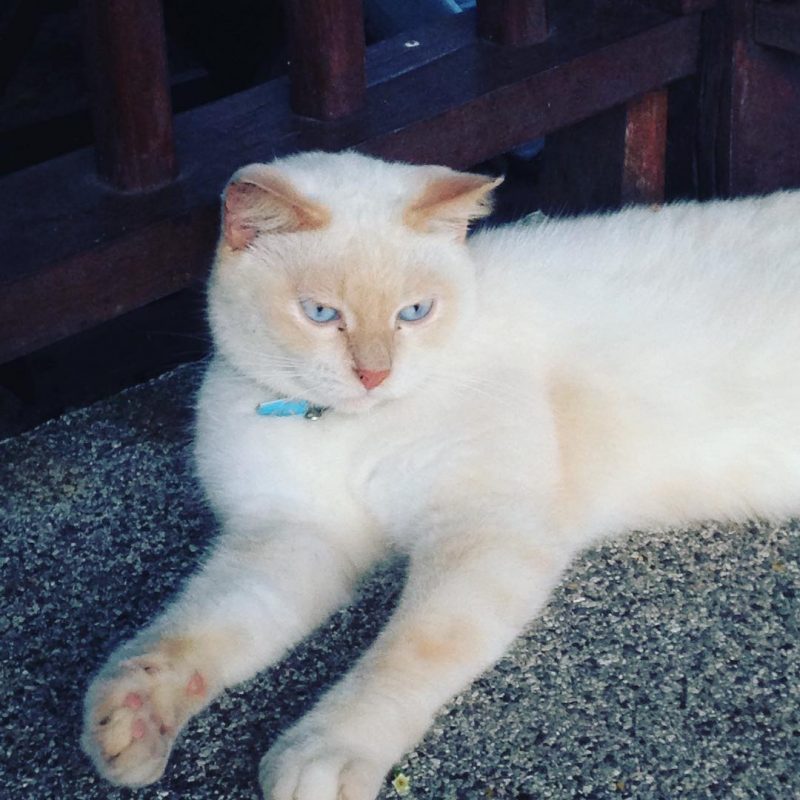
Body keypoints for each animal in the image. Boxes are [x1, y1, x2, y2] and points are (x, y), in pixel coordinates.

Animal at [79, 152, 800, 800]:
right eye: (321, 314)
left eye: (414, 313)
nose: (374, 374)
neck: (348, 428)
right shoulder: (291, 536)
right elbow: (200, 628)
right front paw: (133, 718)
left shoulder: (484, 532)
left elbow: (405, 654)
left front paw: (325, 753)